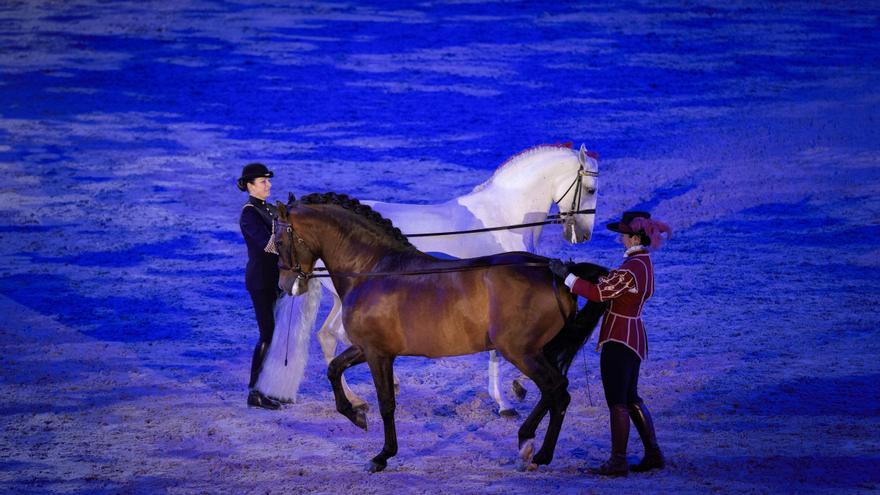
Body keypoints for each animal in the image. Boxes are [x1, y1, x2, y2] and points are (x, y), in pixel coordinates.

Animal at [254, 145, 600, 416]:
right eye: (592, 190)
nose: (582, 235)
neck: (501, 215)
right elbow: (498, 351)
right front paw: (506, 399)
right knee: (333, 336)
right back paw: (362, 395)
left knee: (328, 335)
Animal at [274, 193, 604, 472]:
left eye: (279, 240)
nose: (286, 285)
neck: (372, 269)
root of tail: (556, 273)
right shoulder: (367, 349)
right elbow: (334, 369)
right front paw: (355, 415)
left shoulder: (377, 354)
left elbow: (386, 403)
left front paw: (382, 455)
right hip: (537, 351)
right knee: (554, 391)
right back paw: (532, 444)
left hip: (521, 351)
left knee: (557, 390)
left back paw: (535, 449)